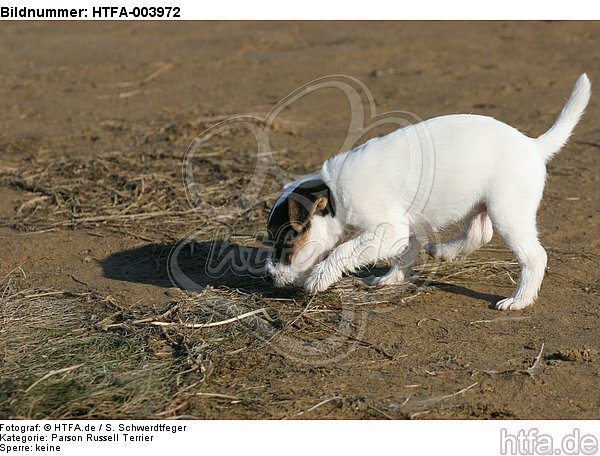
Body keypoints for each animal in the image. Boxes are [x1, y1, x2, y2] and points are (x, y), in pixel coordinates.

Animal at [266, 75, 592, 310]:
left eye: (286, 238)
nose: (269, 275)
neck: (334, 192)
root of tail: (533, 145)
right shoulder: (408, 229)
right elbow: (405, 253)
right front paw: (390, 278)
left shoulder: (389, 229)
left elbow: (343, 250)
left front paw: (319, 278)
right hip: (480, 203)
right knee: (479, 234)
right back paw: (443, 251)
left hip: (508, 212)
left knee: (534, 256)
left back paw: (520, 300)